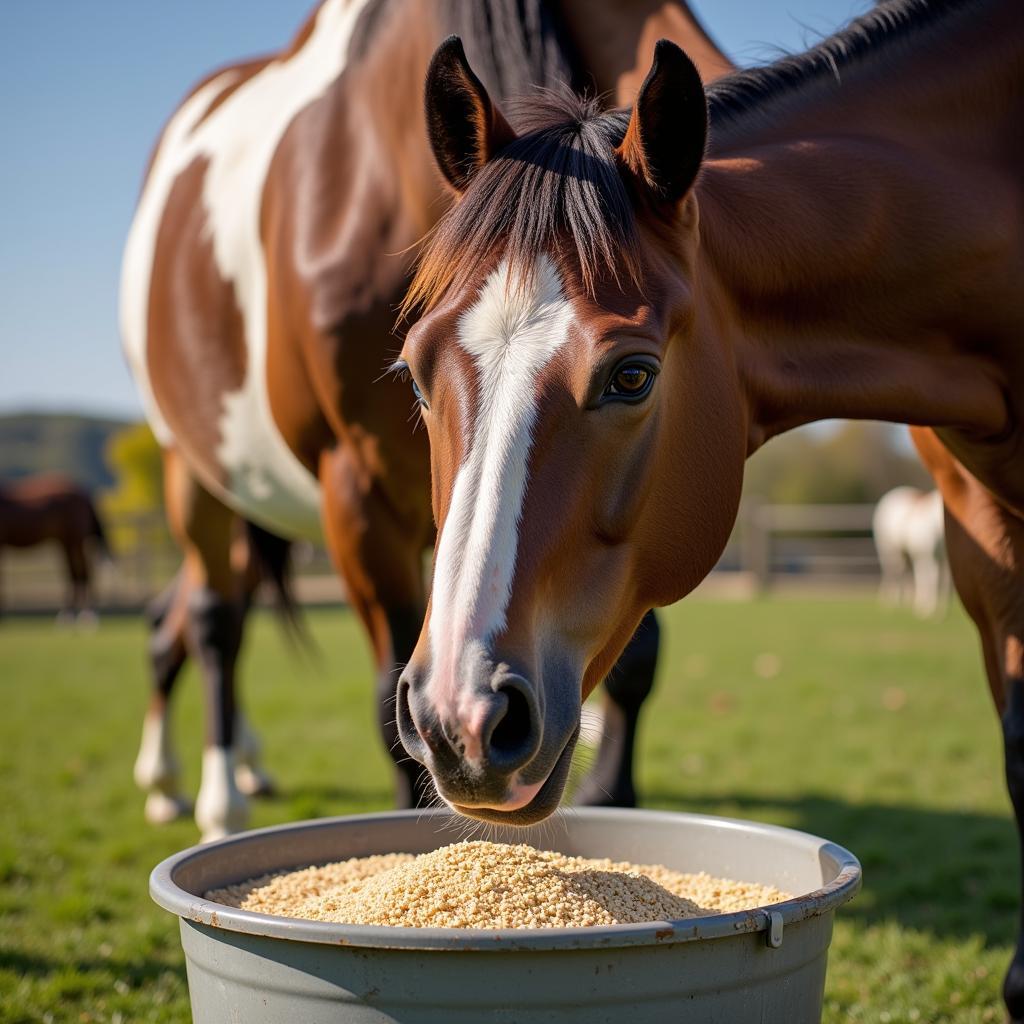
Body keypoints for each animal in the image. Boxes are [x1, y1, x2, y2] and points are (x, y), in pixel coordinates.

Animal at [0, 473, 110, 622]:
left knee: (85, 573)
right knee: (75, 573)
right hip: (67, 542)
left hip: (75, 540)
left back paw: (86, 613)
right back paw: (70, 614)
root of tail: (84, 494)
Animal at [117, 0, 737, 835]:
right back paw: (216, 796)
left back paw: (203, 770)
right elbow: (390, 703)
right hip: (191, 468)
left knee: (176, 619)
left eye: (634, 376)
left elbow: (633, 658)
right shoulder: (359, 495)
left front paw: (614, 798)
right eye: (411, 371)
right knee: (216, 619)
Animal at [872, 485, 950, 618]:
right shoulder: (925, 556)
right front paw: (926, 609)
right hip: (889, 551)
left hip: (907, 555)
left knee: (907, 573)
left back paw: (907, 602)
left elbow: (945, 582)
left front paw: (940, 611)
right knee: (893, 572)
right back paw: (891, 601)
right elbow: (929, 578)